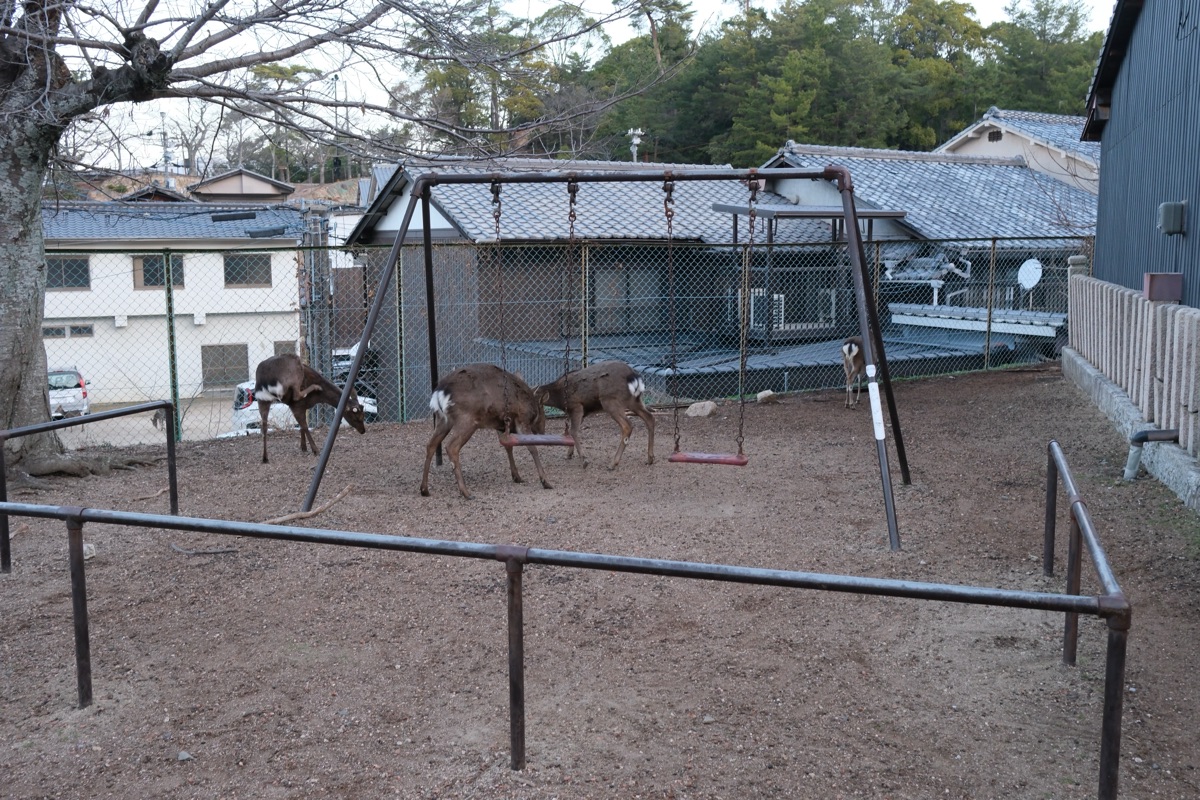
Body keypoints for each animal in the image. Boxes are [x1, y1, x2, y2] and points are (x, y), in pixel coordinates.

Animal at [420, 363, 552, 500]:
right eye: (543, 410)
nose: (542, 431)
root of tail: (440, 392)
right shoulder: (522, 419)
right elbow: (532, 448)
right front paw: (545, 481)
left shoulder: (501, 425)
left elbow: (508, 447)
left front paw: (517, 477)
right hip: (467, 419)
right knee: (451, 446)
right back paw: (466, 492)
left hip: (443, 419)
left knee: (431, 445)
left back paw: (424, 489)